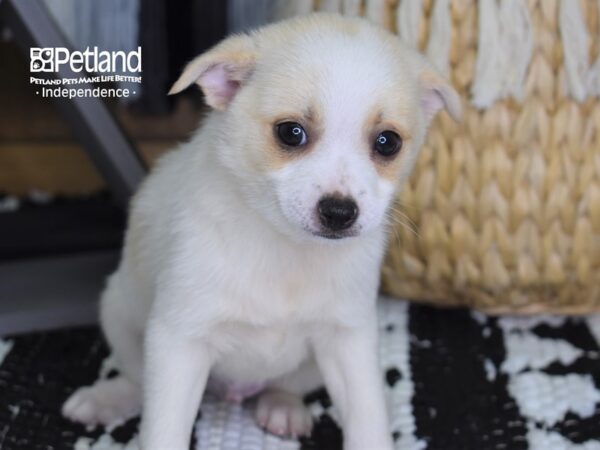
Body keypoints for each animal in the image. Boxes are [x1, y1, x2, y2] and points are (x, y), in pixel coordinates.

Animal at [62, 13, 460, 450]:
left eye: (387, 142)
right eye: (291, 132)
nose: (340, 212)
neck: (284, 245)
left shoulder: (348, 339)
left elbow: (368, 418)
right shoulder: (178, 341)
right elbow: (163, 429)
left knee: (283, 386)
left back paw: (282, 407)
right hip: (119, 312)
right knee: (136, 378)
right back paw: (105, 398)